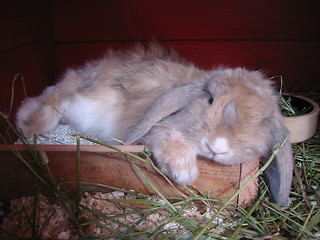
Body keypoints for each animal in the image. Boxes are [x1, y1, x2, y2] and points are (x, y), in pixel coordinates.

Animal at [16, 42, 294, 207]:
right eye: (210, 99)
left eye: (263, 121)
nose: (217, 146)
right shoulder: (156, 130)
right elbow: (168, 135)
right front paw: (184, 172)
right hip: (84, 98)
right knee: (55, 98)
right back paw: (27, 124)